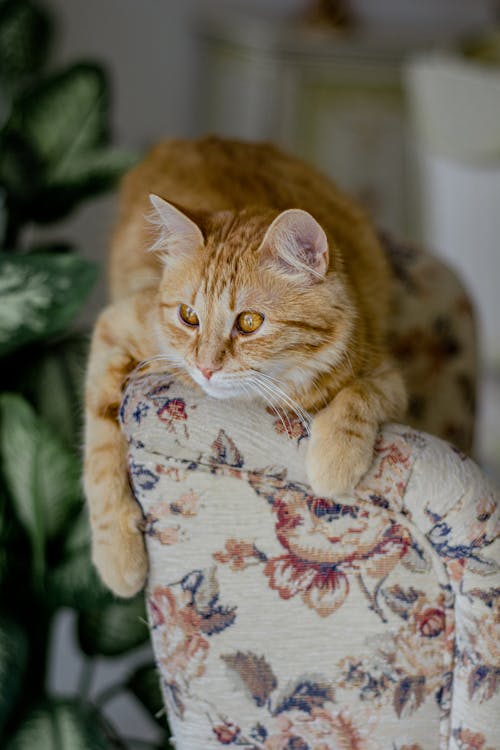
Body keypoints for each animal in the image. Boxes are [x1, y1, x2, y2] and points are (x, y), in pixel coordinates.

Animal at [85, 137, 406, 600]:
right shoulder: (116, 326)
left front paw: (335, 459)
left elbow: (359, 397)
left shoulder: (387, 374)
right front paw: (118, 557)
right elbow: (99, 453)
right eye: (188, 316)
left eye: (250, 322)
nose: (204, 367)